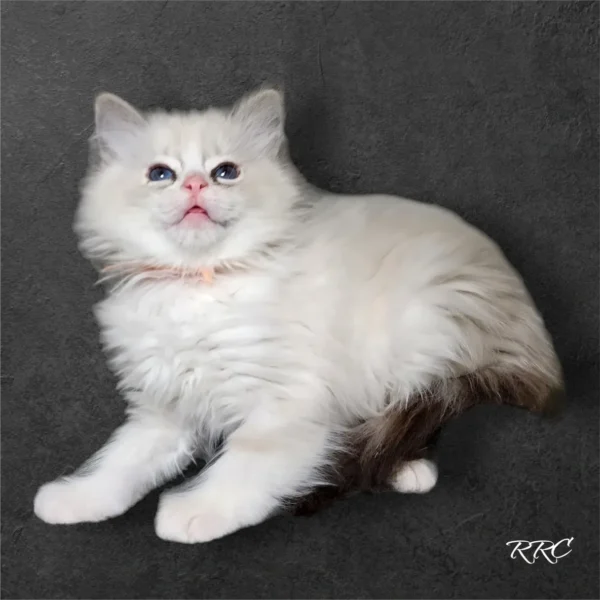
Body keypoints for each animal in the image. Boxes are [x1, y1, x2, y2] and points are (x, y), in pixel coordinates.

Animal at [34, 88, 564, 544]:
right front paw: (75, 500)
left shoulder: (287, 404)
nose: (195, 183)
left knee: (417, 408)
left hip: (421, 330)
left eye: (226, 172)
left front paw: (194, 513)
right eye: (160, 174)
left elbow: (244, 467)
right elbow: (120, 463)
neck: (200, 284)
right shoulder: (163, 407)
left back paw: (409, 469)